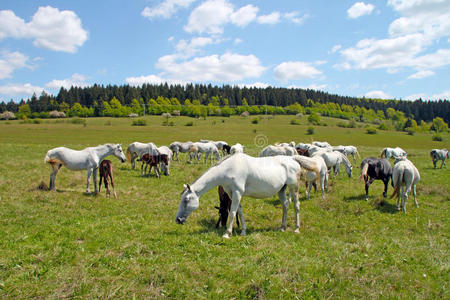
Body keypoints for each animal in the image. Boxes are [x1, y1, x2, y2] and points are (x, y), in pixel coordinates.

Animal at [174, 154, 318, 238]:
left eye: (186, 199)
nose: (178, 220)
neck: (228, 168)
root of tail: (293, 159)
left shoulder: (237, 193)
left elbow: (232, 212)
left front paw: (227, 233)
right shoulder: (233, 193)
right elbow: (240, 212)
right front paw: (243, 231)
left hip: (293, 187)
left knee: (296, 206)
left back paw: (296, 229)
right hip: (281, 190)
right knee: (285, 206)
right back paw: (282, 227)